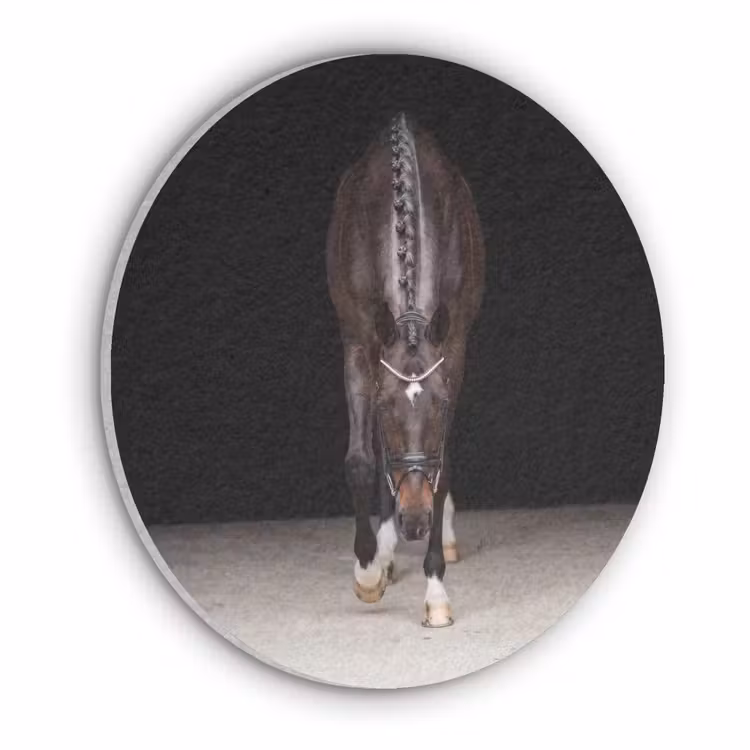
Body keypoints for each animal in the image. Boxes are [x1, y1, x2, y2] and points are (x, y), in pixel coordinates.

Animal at [326, 113, 485, 627]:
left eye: (439, 406)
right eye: (386, 407)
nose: (414, 522)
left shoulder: (453, 351)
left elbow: (442, 467)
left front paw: (436, 591)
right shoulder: (359, 345)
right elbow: (361, 460)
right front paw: (368, 570)